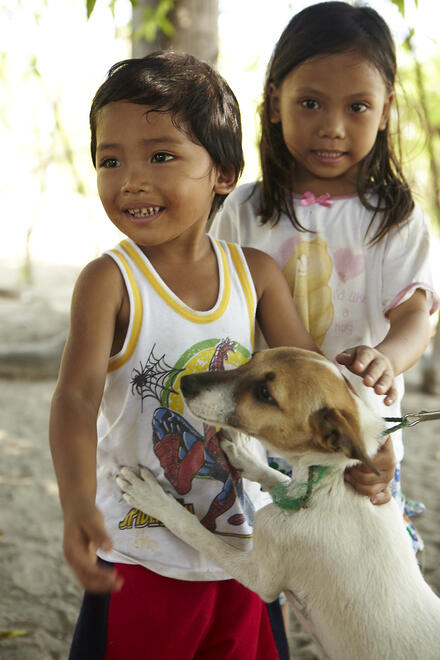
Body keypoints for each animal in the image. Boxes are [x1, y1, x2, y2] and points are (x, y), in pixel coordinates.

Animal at [116, 348, 440, 656]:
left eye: (265, 393)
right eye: (253, 358)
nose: (186, 382)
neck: (330, 481)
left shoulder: (261, 577)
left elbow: (196, 531)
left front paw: (152, 497)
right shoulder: (293, 484)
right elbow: (275, 476)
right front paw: (242, 454)